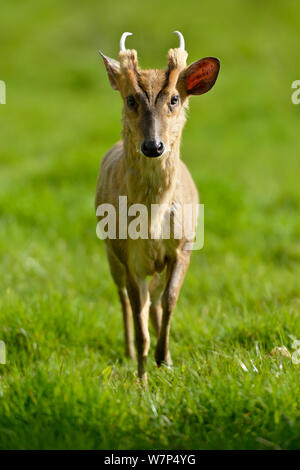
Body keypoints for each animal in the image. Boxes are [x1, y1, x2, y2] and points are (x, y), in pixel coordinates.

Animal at [96, 31, 220, 384]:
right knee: (124, 298)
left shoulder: (184, 245)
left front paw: (165, 359)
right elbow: (139, 315)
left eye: (174, 100)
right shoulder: (128, 255)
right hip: (110, 253)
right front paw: (141, 377)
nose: (153, 146)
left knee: (155, 301)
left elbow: (170, 299)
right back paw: (129, 353)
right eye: (130, 100)